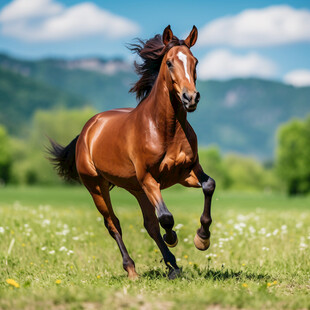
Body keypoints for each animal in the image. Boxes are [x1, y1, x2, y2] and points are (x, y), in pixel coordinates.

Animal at [49, 25, 216, 280]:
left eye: (194, 61)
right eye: (169, 62)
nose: (190, 98)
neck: (164, 129)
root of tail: (88, 129)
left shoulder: (186, 172)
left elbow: (209, 185)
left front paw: (202, 239)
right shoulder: (149, 178)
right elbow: (166, 217)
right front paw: (173, 237)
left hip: (136, 189)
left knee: (150, 224)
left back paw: (173, 266)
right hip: (97, 186)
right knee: (113, 224)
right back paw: (132, 269)